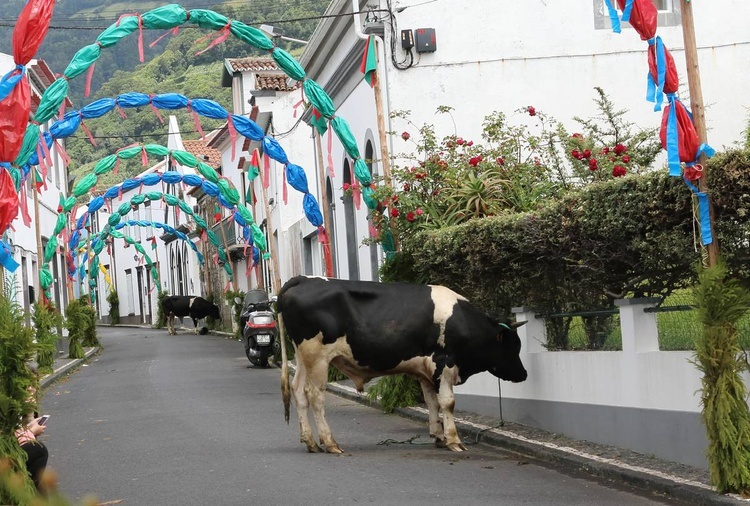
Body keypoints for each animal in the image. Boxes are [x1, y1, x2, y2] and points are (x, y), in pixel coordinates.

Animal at [278, 276, 528, 454]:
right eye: (512, 347)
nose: (523, 374)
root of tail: (303, 279)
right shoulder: (445, 363)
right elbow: (447, 402)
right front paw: (454, 440)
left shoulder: (426, 370)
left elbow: (431, 401)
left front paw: (438, 436)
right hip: (318, 357)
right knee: (315, 395)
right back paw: (330, 443)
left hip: (303, 358)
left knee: (298, 392)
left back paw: (311, 442)